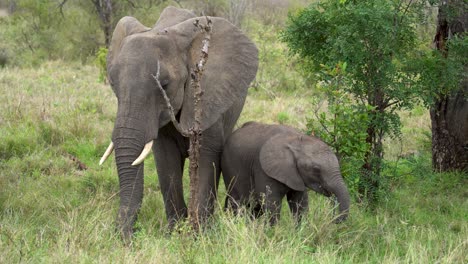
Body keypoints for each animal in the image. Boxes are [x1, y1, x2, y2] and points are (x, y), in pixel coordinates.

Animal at [100, 6, 258, 241]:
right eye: (113, 83)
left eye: (164, 85)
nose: (128, 236)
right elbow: (166, 163)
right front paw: (175, 233)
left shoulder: (209, 97)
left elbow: (206, 159)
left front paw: (198, 236)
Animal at [221, 121, 350, 223]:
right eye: (316, 169)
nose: (333, 220)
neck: (296, 140)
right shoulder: (262, 168)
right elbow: (271, 203)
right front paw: (273, 234)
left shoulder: (297, 175)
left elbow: (299, 203)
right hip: (230, 166)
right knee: (239, 202)